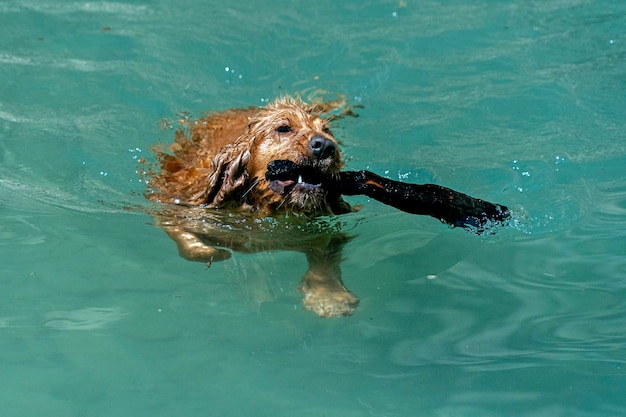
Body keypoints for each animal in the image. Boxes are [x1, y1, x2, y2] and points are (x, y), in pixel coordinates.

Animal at [145, 97, 360, 316]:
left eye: (327, 131)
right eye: (283, 128)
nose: (325, 145)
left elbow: (326, 258)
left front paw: (329, 295)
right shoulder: (175, 203)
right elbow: (185, 239)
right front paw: (211, 251)